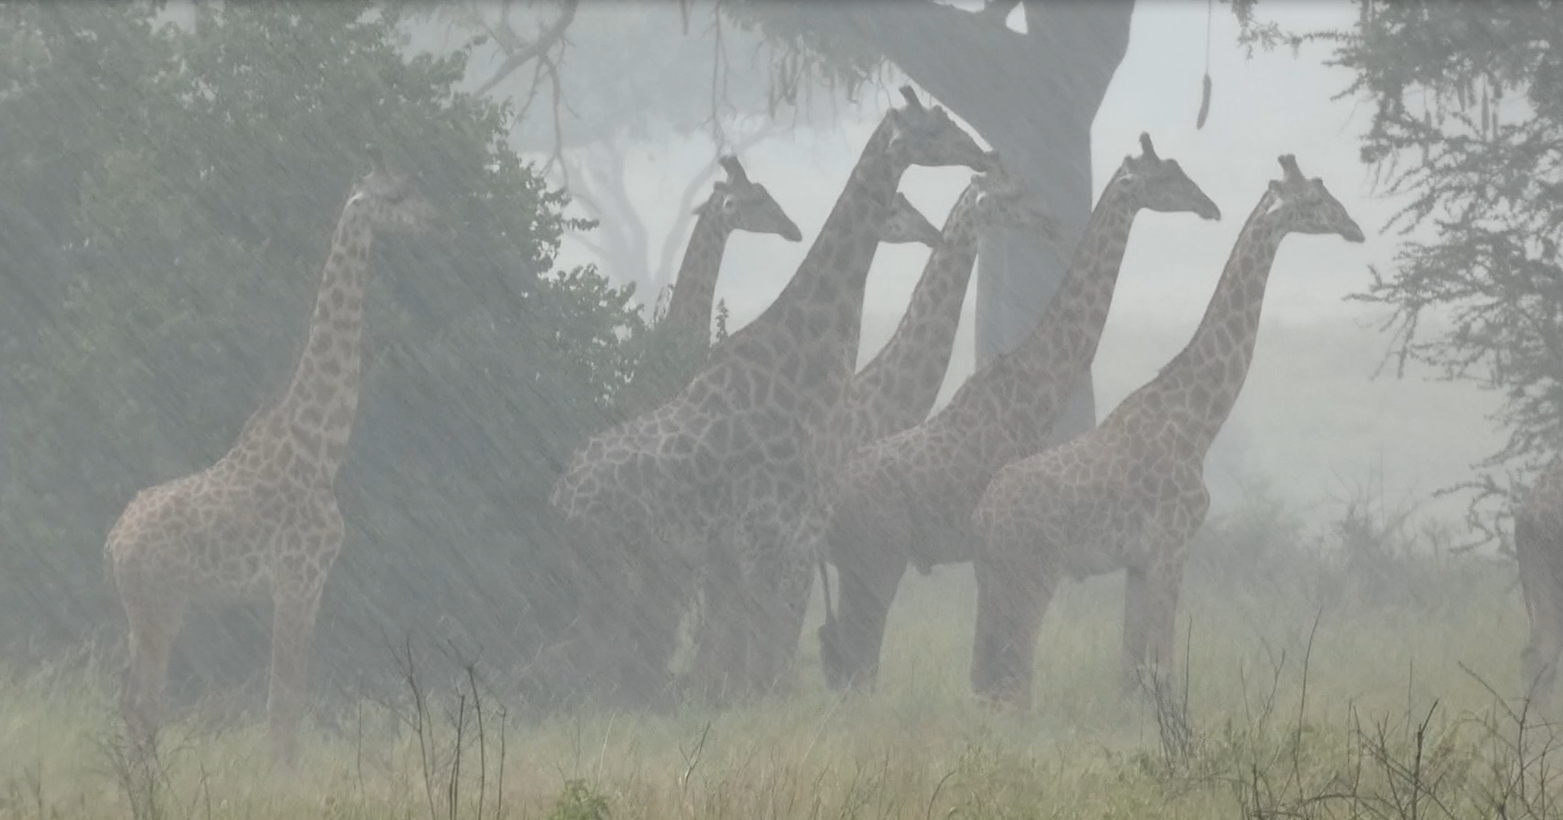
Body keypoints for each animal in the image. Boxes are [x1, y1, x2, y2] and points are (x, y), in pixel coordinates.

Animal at [105, 147, 439, 762]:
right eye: (396, 196)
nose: (435, 220)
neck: (321, 447)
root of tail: (114, 542)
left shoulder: (300, 586)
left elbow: (285, 703)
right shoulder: (299, 578)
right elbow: (283, 706)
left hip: (147, 610)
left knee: (132, 700)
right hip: (161, 604)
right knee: (143, 701)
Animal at [550, 85, 991, 707]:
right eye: (933, 129)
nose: (983, 154)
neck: (803, 361)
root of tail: (558, 498)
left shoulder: (770, 542)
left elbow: (755, 657)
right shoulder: (770, 535)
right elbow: (761, 660)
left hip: (635, 567)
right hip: (616, 565)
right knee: (596, 660)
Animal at [817, 134, 1223, 692]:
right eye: (1166, 178)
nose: (1210, 206)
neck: (1037, 389)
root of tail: (831, 502)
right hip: (875, 560)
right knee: (856, 654)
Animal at [966, 154, 1364, 710]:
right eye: (1313, 201)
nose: (1355, 228)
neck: (1197, 421)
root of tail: (983, 516)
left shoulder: (1139, 561)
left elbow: (1132, 669)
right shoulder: (1173, 545)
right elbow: (1164, 663)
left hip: (993, 578)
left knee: (988, 675)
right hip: (1031, 573)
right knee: (1014, 675)